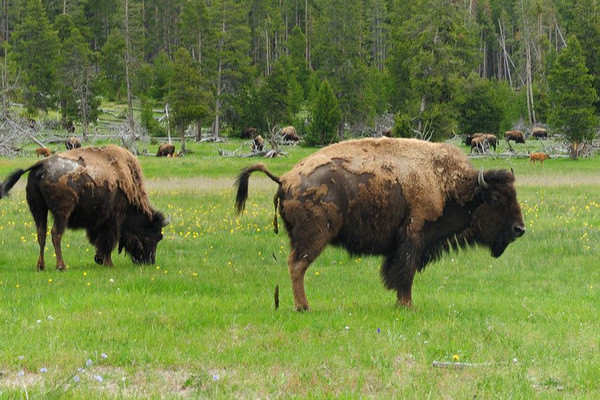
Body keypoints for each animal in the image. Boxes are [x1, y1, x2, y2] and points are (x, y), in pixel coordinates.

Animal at [0, 145, 169, 270]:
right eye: (153, 236)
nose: (149, 262)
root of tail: (41, 165)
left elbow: (100, 240)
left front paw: (100, 259)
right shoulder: (113, 219)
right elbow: (109, 240)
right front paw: (108, 263)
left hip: (38, 210)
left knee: (41, 235)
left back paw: (41, 266)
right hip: (62, 213)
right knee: (56, 234)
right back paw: (61, 266)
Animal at [234, 139, 524, 310]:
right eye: (496, 198)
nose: (519, 229)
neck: (450, 186)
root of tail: (285, 178)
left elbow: (397, 273)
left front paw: (401, 304)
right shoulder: (413, 240)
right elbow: (405, 275)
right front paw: (407, 306)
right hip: (314, 237)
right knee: (297, 265)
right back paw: (304, 307)